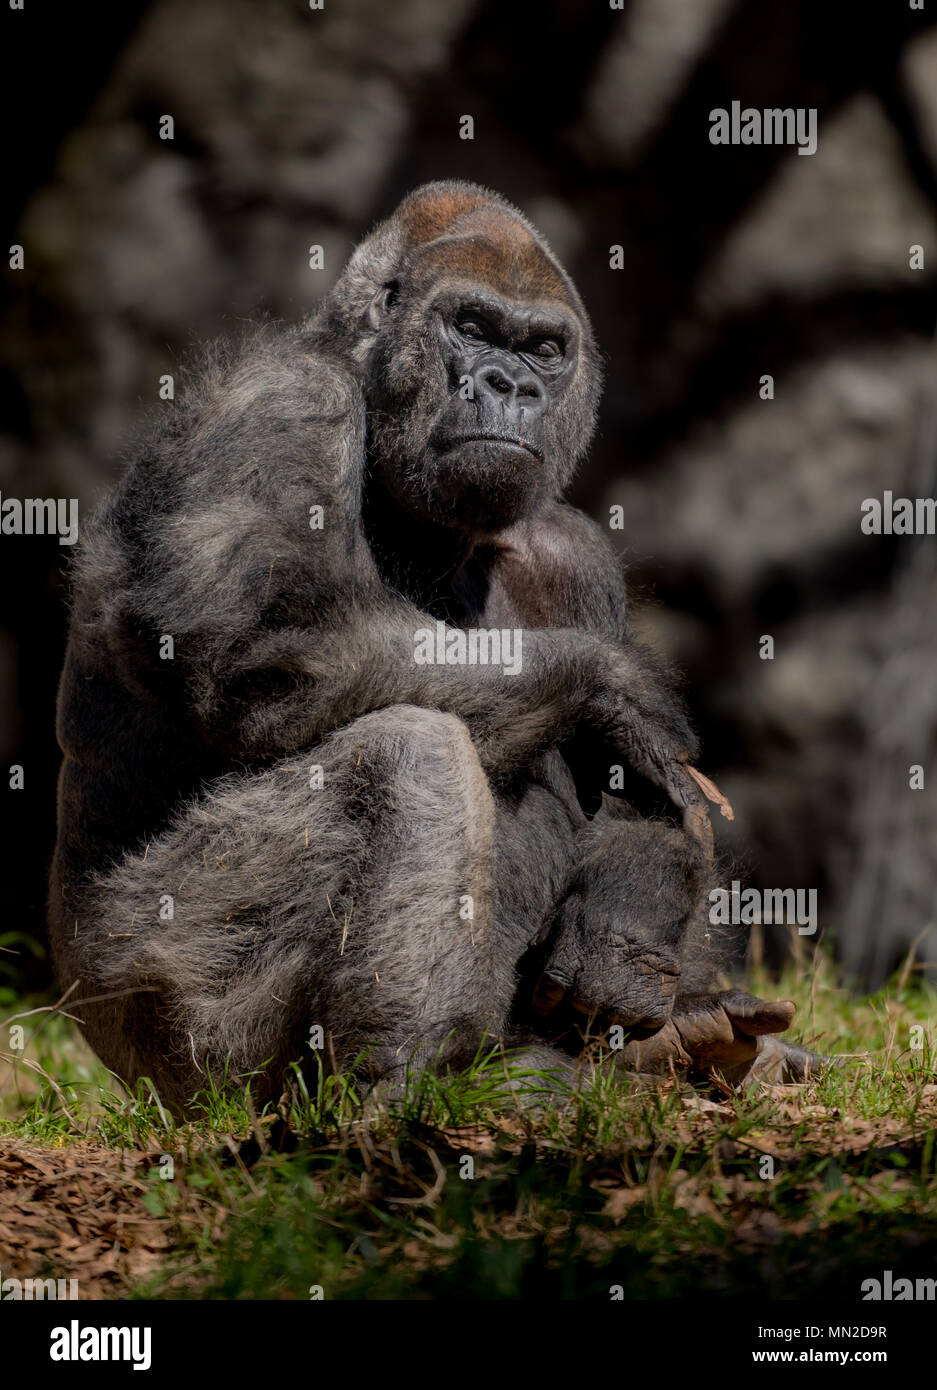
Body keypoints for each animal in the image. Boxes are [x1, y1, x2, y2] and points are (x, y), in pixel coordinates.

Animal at [49, 182, 811, 1106]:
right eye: (472, 328)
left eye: (543, 349)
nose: (509, 383)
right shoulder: (280, 401)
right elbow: (250, 650)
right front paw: (607, 684)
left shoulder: (573, 554)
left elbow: (644, 793)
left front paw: (638, 892)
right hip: (168, 1035)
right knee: (411, 752)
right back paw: (409, 1085)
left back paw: (678, 1041)